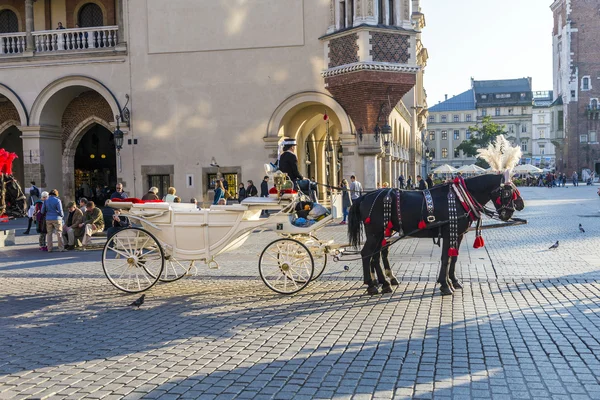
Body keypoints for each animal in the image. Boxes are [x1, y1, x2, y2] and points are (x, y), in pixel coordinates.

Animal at [346, 173, 524, 296]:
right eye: (507, 192)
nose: (515, 209)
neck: (460, 198)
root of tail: (364, 196)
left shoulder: (457, 234)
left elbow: (453, 257)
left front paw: (453, 281)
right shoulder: (449, 232)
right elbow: (446, 258)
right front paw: (445, 285)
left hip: (381, 234)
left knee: (376, 256)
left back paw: (384, 283)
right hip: (375, 233)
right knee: (367, 254)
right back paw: (371, 285)